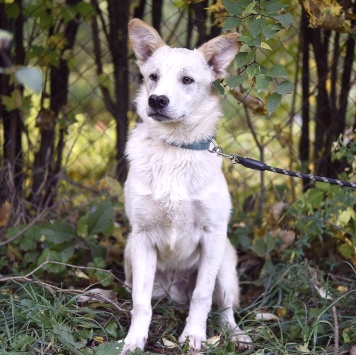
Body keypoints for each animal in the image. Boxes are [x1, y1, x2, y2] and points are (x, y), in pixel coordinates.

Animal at [121, 19, 252, 355]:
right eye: (153, 77)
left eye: (187, 80)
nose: (156, 100)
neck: (175, 148)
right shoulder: (142, 237)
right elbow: (140, 304)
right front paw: (134, 340)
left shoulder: (213, 235)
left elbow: (202, 297)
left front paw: (194, 336)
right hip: (130, 255)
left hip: (225, 262)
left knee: (224, 308)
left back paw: (235, 334)